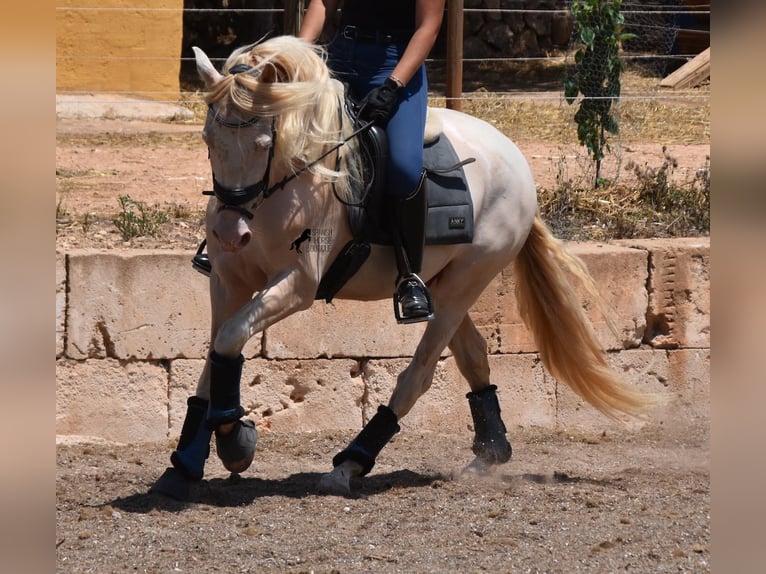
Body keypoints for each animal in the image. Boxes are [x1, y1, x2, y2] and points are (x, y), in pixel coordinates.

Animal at [153, 36, 656, 502]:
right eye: (207, 141)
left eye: (262, 144)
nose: (229, 233)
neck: (285, 187)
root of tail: (514, 158)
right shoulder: (228, 282)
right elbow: (218, 353)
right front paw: (187, 463)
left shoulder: (297, 285)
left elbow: (230, 341)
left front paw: (235, 441)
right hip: (443, 282)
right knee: (474, 353)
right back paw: (491, 453)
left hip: (465, 281)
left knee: (420, 374)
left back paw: (350, 464)